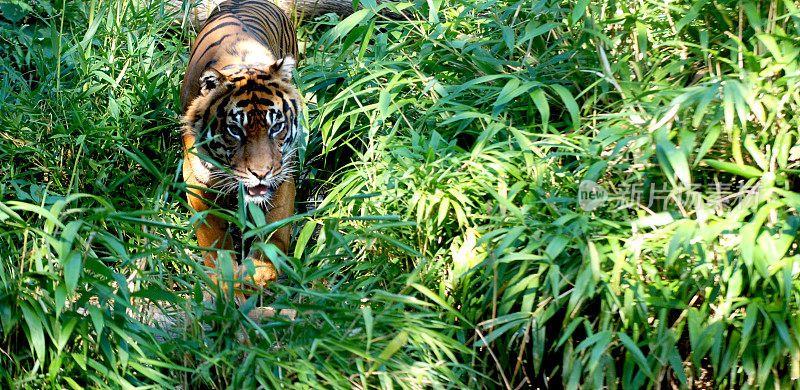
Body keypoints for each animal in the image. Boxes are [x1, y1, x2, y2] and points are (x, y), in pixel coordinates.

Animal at [180, 0, 302, 292]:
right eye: (235, 130)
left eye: (276, 126)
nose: (261, 173)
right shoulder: (197, 181)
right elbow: (214, 239)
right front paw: (222, 280)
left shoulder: (283, 175)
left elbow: (272, 232)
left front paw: (258, 274)